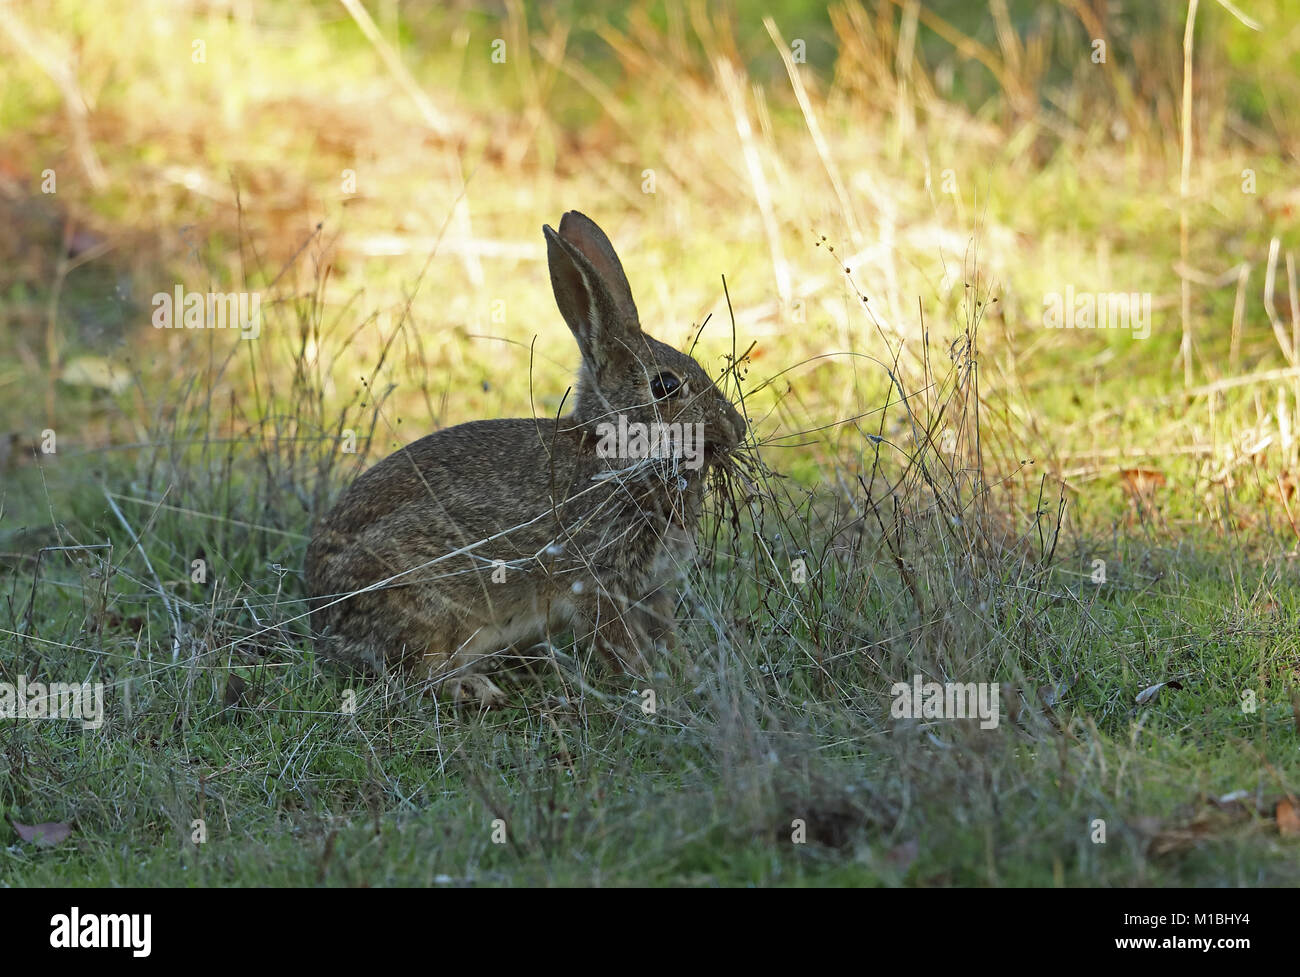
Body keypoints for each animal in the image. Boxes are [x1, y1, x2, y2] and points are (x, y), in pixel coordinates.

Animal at [305, 210, 748, 706]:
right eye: (665, 386)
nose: (737, 429)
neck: (615, 453)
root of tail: (323, 620)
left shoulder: (651, 590)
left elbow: (668, 639)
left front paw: (691, 677)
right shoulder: (594, 580)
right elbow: (620, 644)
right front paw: (654, 689)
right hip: (431, 607)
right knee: (415, 673)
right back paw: (474, 687)